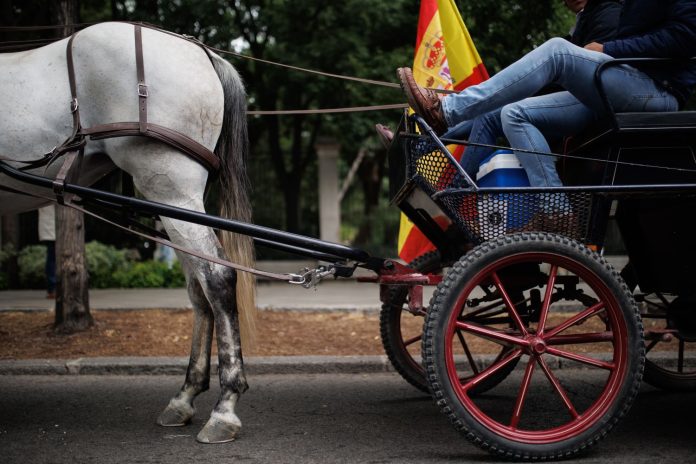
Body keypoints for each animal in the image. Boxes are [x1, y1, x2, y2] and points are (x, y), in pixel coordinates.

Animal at [0, 22, 256, 446]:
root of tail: (200, 51)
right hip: (173, 201)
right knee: (199, 286)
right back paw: (185, 396)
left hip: (172, 189)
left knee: (217, 278)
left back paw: (226, 406)